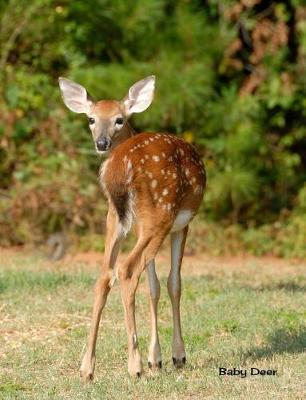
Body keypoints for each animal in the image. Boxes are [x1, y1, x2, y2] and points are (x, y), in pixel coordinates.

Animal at [58, 76, 206, 382]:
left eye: (119, 119)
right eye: (91, 118)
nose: (101, 143)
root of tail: (120, 166)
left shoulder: (135, 224)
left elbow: (154, 285)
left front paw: (156, 359)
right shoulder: (182, 224)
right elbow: (173, 283)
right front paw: (176, 356)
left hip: (115, 217)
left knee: (105, 275)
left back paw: (87, 368)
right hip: (161, 213)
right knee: (126, 269)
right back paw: (134, 367)